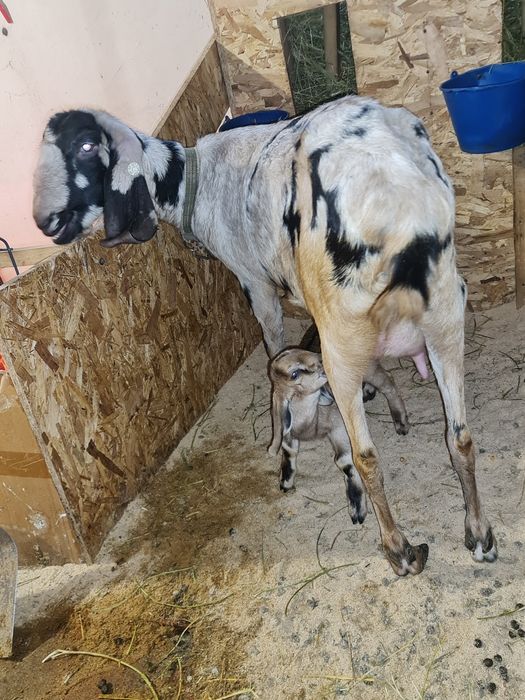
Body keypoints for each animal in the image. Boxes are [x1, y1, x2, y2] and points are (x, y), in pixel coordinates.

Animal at [269, 348, 367, 525]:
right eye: (294, 374)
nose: (323, 359)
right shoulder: (289, 432)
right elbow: (289, 452)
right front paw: (285, 483)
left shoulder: (338, 426)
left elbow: (345, 462)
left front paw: (357, 510)